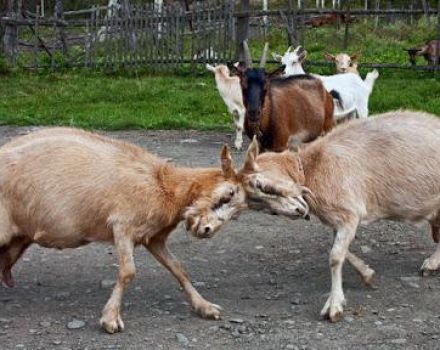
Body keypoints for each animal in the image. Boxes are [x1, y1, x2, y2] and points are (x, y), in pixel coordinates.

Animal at [0, 128, 248, 334]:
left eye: (236, 214)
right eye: (227, 194)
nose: (207, 230)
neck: (165, 186)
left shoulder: (153, 238)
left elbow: (179, 269)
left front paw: (204, 307)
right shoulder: (122, 226)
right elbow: (128, 272)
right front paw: (110, 319)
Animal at [241, 111, 440, 322]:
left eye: (263, 186)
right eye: (259, 204)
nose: (298, 211)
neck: (311, 167)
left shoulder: (350, 213)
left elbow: (335, 256)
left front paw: (334, 305)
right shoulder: (340, 219)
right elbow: (341, 250)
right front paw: (367, 273)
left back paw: (431, 264)